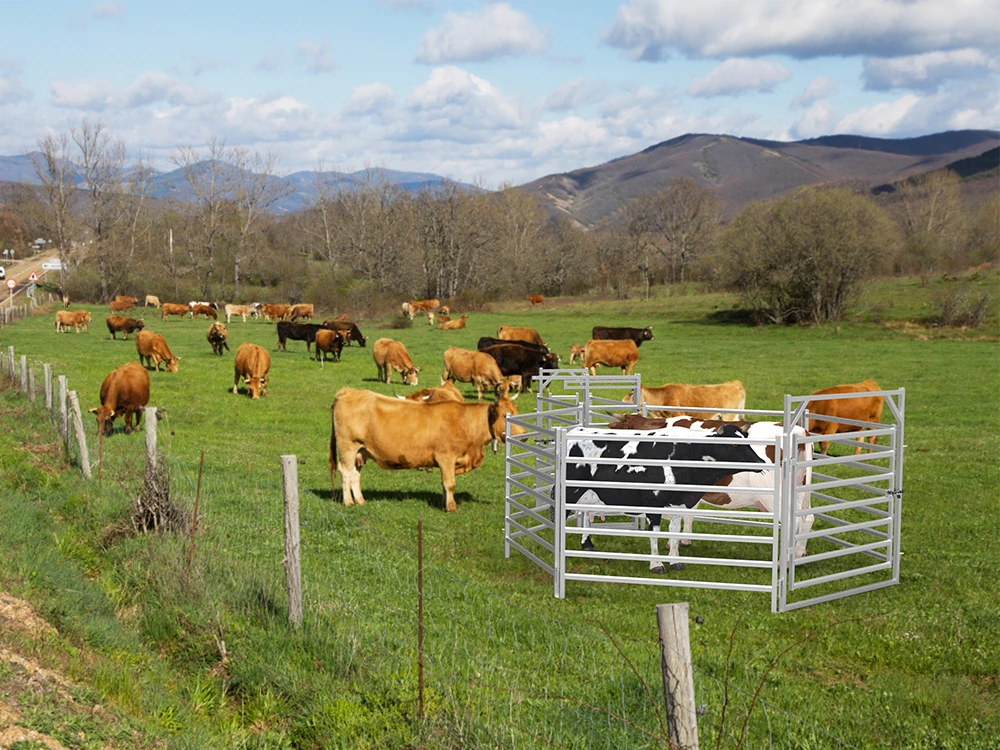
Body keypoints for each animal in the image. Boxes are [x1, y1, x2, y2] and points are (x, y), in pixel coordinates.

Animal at [332, 388, 524, 516]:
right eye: (505, 415)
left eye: (517, 411)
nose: (524, 436)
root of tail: (348, 391)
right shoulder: (446, 457)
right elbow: (449, 483)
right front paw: (451, 507)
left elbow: (444, 484)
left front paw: (444, 503)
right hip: (348, 447)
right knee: (346, 472)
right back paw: (348, 502)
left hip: (361, 451)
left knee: (355, 475)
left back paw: (360, 501)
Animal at [564, 424, 764, 576]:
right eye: (735, 444)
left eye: (746, 439)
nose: (761, 462)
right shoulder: (654, 504)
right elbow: (655, 533)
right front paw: (656, 564)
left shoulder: (680, 503)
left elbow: (674, 532)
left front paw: (675, 561)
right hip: (570, 491)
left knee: (585, 513)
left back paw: (587, 545)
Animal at [608, 414, 812, 560]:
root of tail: (799, 431)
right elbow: (688, 514)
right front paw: (684, 540)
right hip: (801, 491)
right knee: (807, 518)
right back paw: (799, 554)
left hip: (774, 495)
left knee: (792, 522)